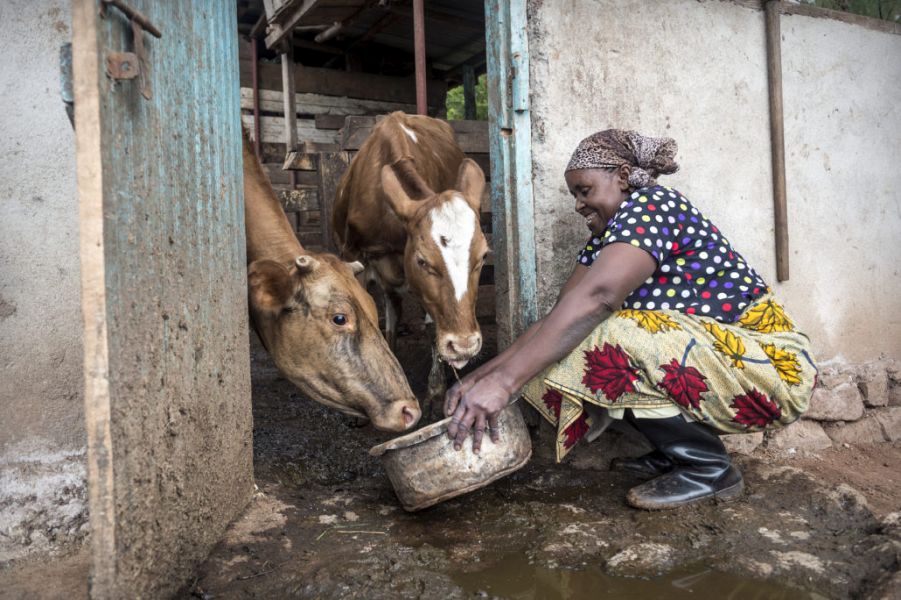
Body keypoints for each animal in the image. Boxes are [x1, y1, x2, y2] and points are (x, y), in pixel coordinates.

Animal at [330, 112, 488, 396]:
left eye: (483, 257)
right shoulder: (353, 256)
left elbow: (430, 326)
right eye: (422, 261)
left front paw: (435, 389)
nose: (464, 345)